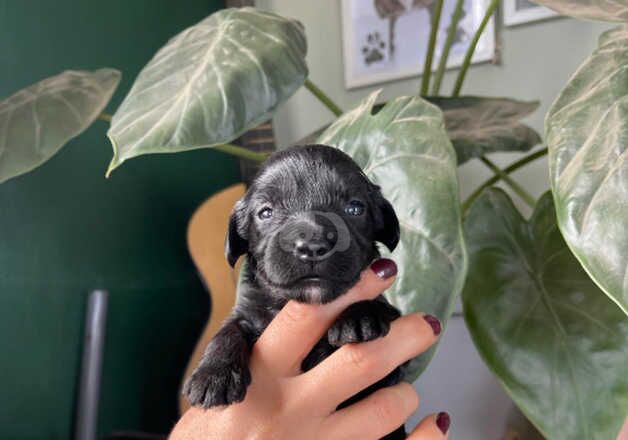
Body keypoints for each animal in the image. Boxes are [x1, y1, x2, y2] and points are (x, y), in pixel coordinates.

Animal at [184, 144, 404, 436]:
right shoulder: (249, 311)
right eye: (266, 212)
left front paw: (360, 316)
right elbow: (229, 328)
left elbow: (382, 306)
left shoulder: (392, 371)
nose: (312, 246)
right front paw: (213, 374)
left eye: (355, 208)